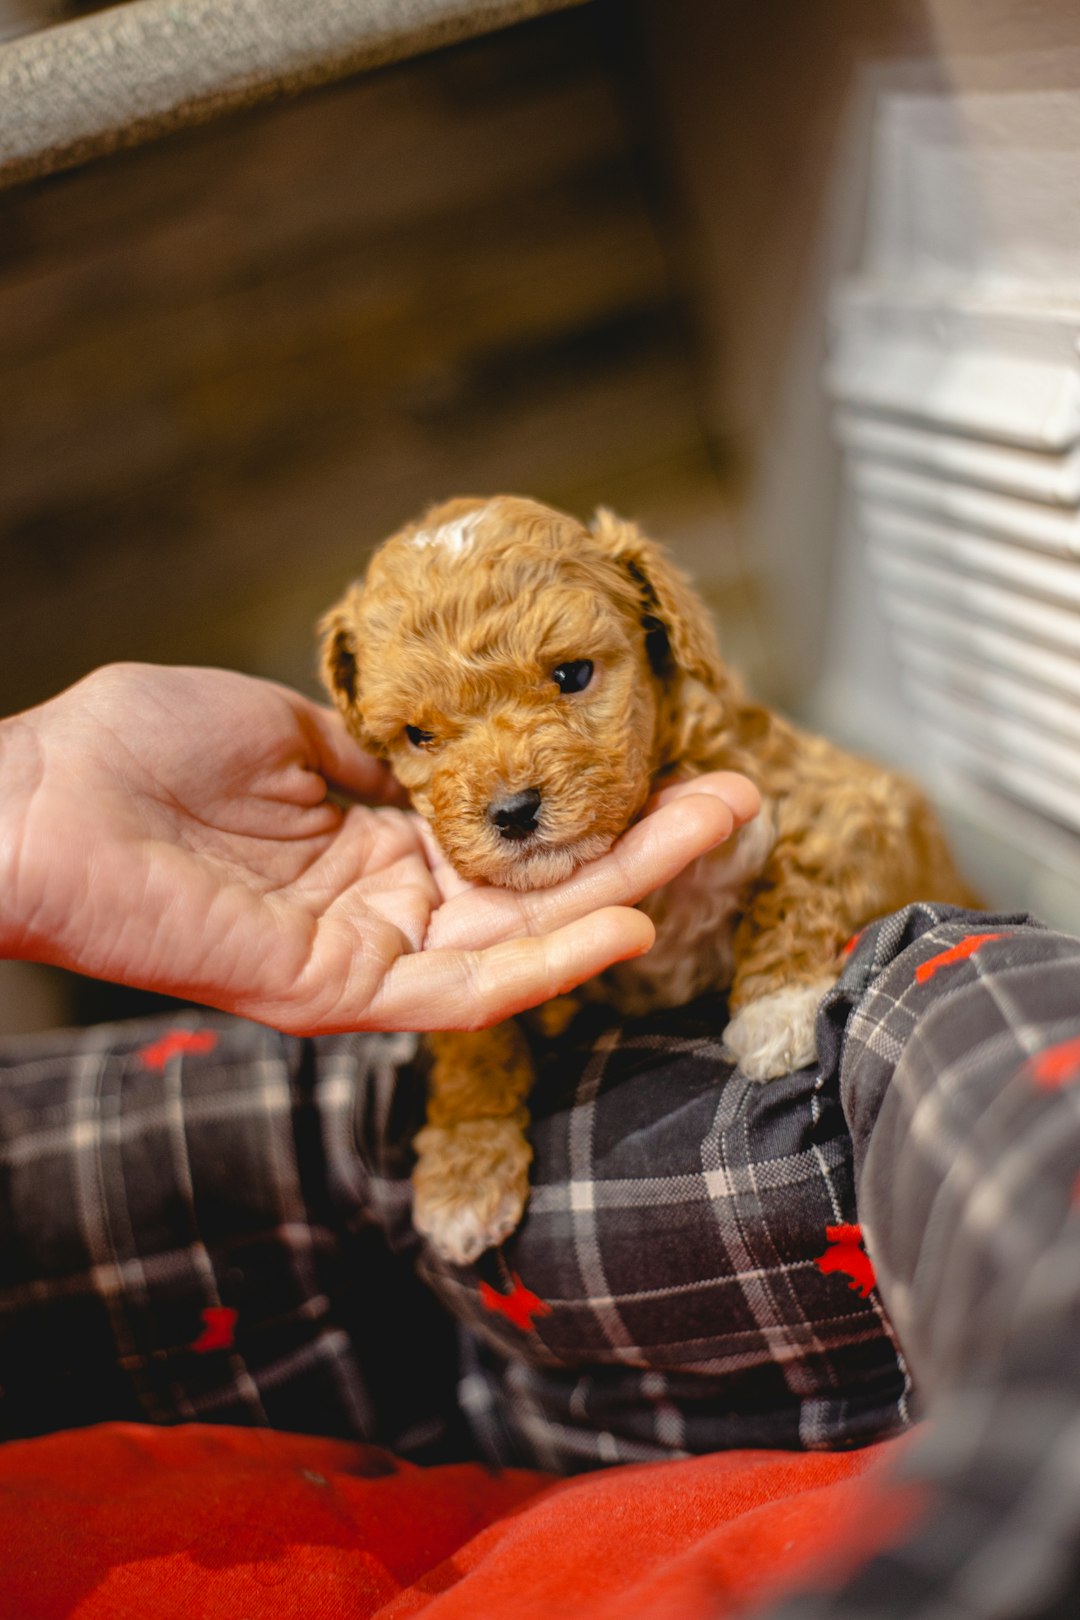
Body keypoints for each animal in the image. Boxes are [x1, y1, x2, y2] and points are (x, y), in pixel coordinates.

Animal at [318, 492, 971, 1263]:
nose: (512, 812)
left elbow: (797, 870)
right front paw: (463, 1167)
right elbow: (473, 1028)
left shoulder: (856, 802)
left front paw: (776, 1008)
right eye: (418, 736)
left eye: (572, 675)